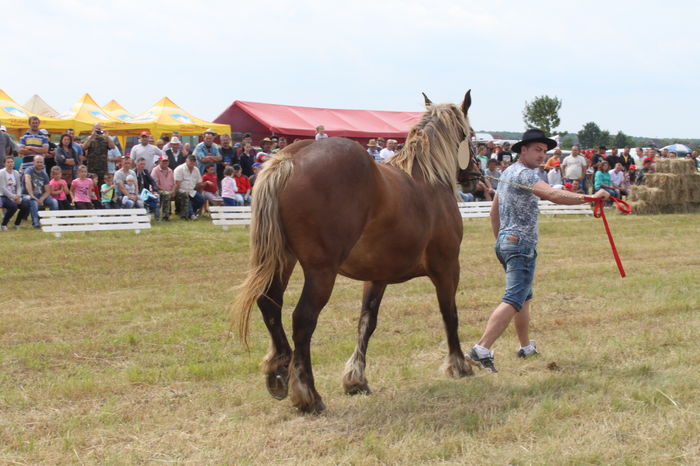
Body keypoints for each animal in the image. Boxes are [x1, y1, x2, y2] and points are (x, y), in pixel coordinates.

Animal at [233, 91, 481, 413]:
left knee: (270, 305)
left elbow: (367, 323)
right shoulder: (448, 267)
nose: (476, 174)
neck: (428, 179)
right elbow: (449, 314)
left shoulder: (376, 278)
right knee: (303, 320)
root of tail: (291, 159)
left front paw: (355, 379)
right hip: (321, 272)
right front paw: (459, 364)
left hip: (282, 261)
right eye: (471, 134)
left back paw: (279, 371)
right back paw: (308, 394)